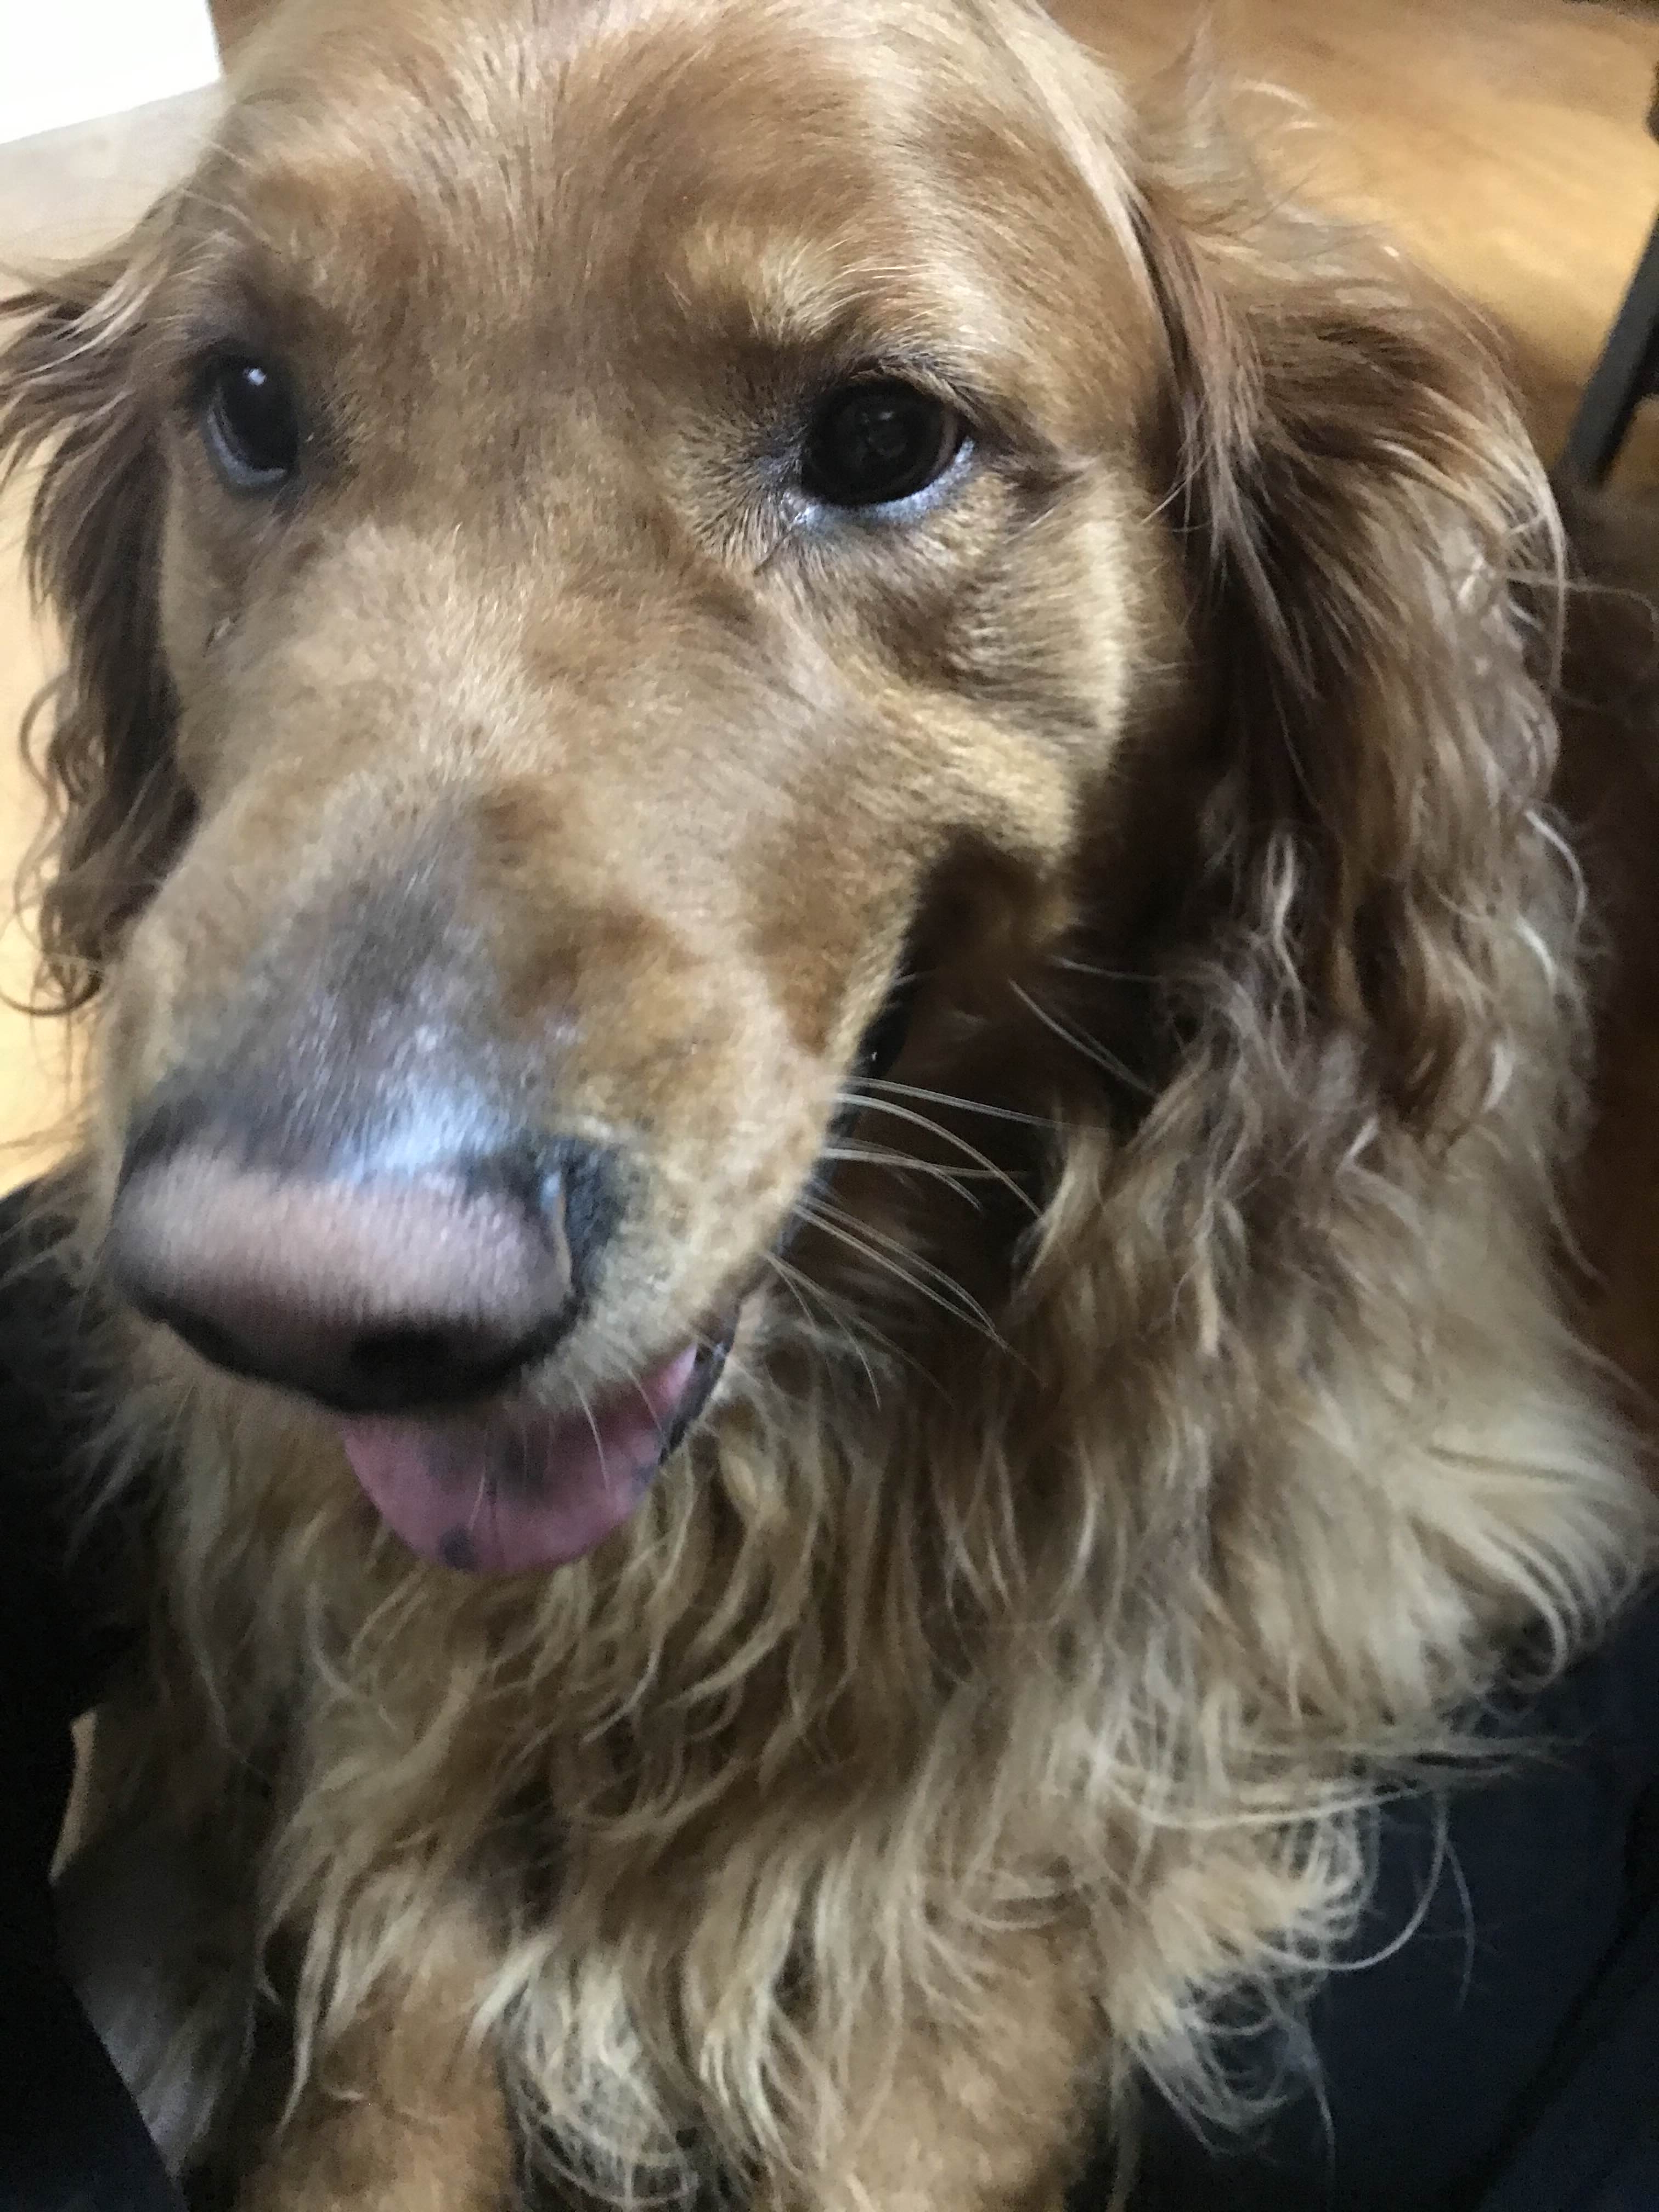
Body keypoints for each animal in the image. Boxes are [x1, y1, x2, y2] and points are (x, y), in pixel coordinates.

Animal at [4, 0, 1658, 2204]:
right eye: (250, 405)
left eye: (884, 439)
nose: (296, 1302)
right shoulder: (388, 1703)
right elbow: (390, 2038)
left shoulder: (1223, 1652)